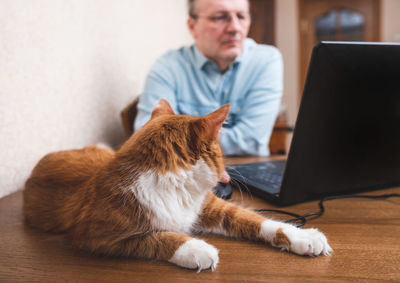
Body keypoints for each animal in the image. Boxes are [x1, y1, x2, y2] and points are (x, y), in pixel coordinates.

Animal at [23, 99, 332, 270]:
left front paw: (303, 236)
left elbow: (257, 220)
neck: (176, 189)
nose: (227, 177)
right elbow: (154, 238)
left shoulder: (210, 205)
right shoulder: (96, 235)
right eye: (220, 152)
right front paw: (196, 248)